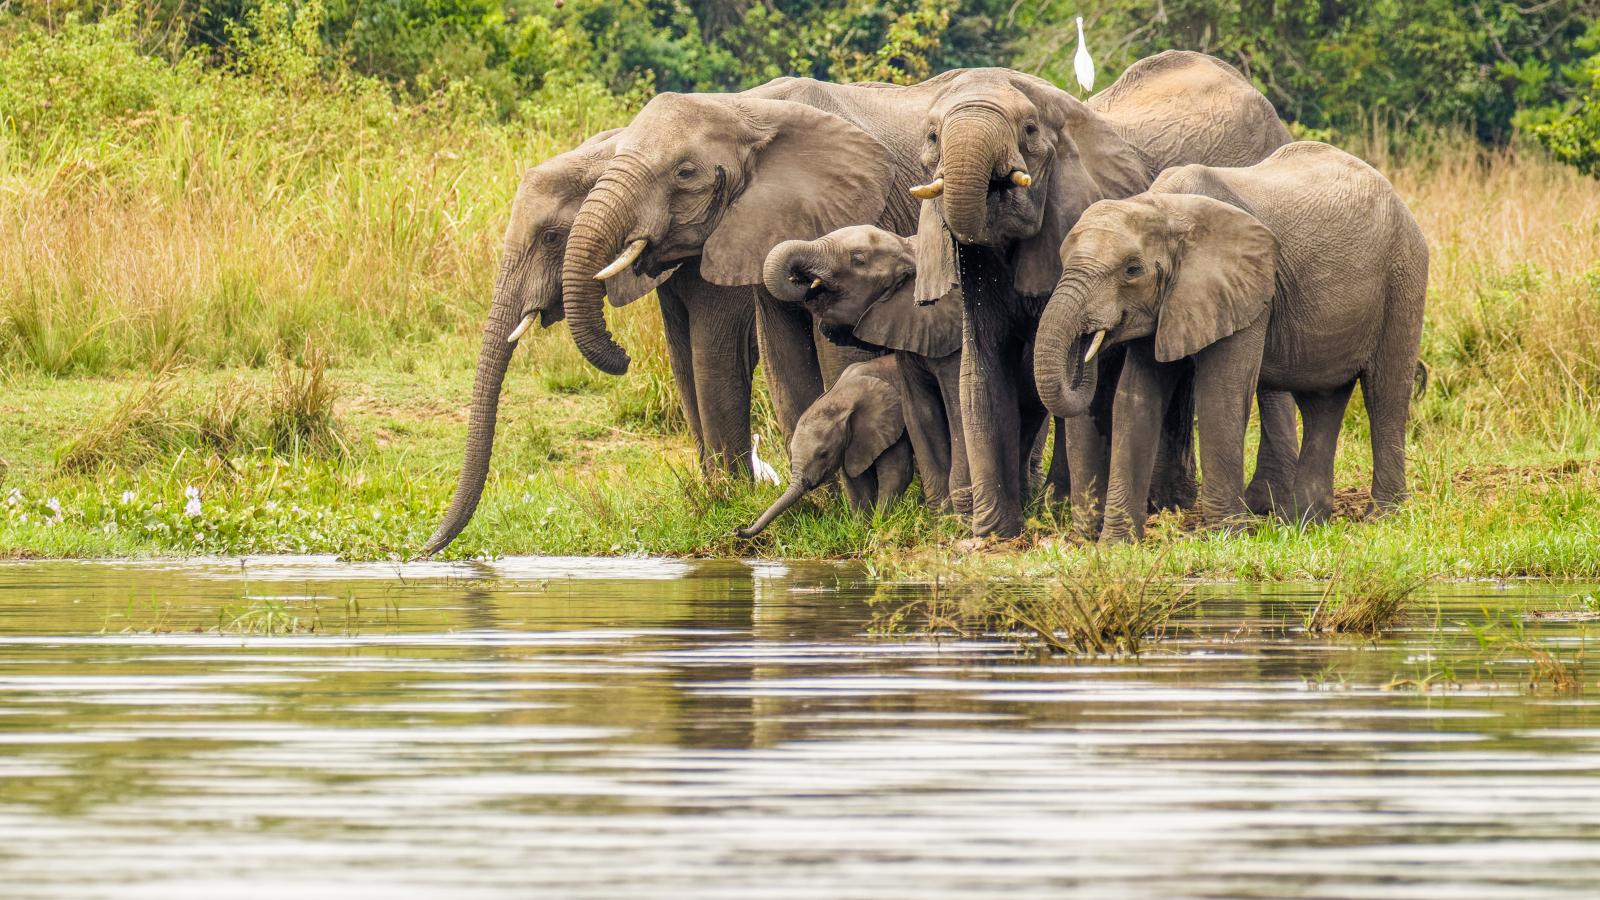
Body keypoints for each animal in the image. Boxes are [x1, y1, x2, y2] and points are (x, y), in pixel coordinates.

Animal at [915, 52, 1299, 534]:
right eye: (932, 136)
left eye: (1029, 130)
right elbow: (982, 372)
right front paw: (991, 534)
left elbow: (1089, 381)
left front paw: (1077, 526)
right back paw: (1166, 503)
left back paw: (1257, 503)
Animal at [1030, 141, 1433, 538]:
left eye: (1132, 270)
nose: (1088, 342)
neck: (1164, 207)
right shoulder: (1166, 304)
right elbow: (1136, 398)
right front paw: (1116, 544)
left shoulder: (1245, 291)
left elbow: (1221, 393)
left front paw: (1227, 534)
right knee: (1322, 402)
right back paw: (1300, 525)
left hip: (1404, 275)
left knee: (1385, 394)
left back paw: (1380, 518)